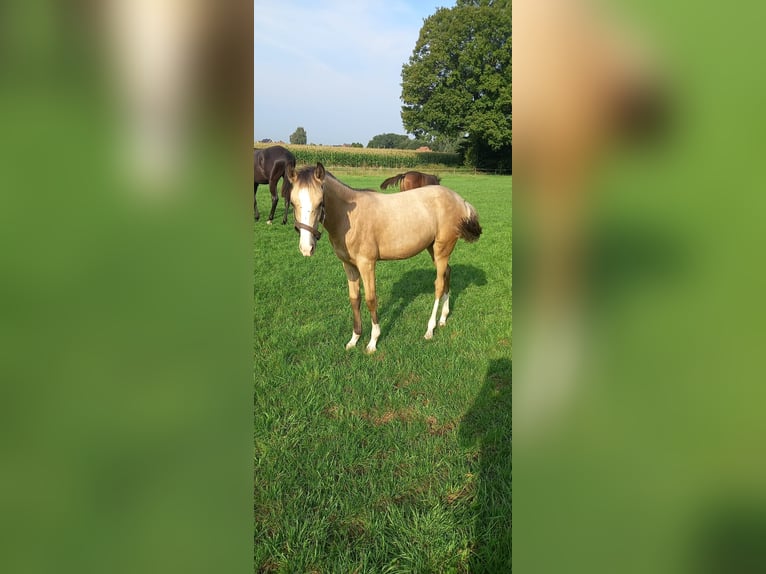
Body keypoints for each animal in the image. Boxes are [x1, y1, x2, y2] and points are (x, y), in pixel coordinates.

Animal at [292, 163, 484, 356]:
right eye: (292, 202)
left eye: (320, 202)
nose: (306, 248)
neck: (350, 217)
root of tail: (460, 200)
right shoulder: (348, 266)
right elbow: (354, 299)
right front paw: (354, 339)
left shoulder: (367, 264)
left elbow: (371, 300)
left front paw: (373, 342)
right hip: (434, 249)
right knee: (447, 273)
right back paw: (443, 318)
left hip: (441, 250)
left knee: (438, 284)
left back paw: (430, 329)